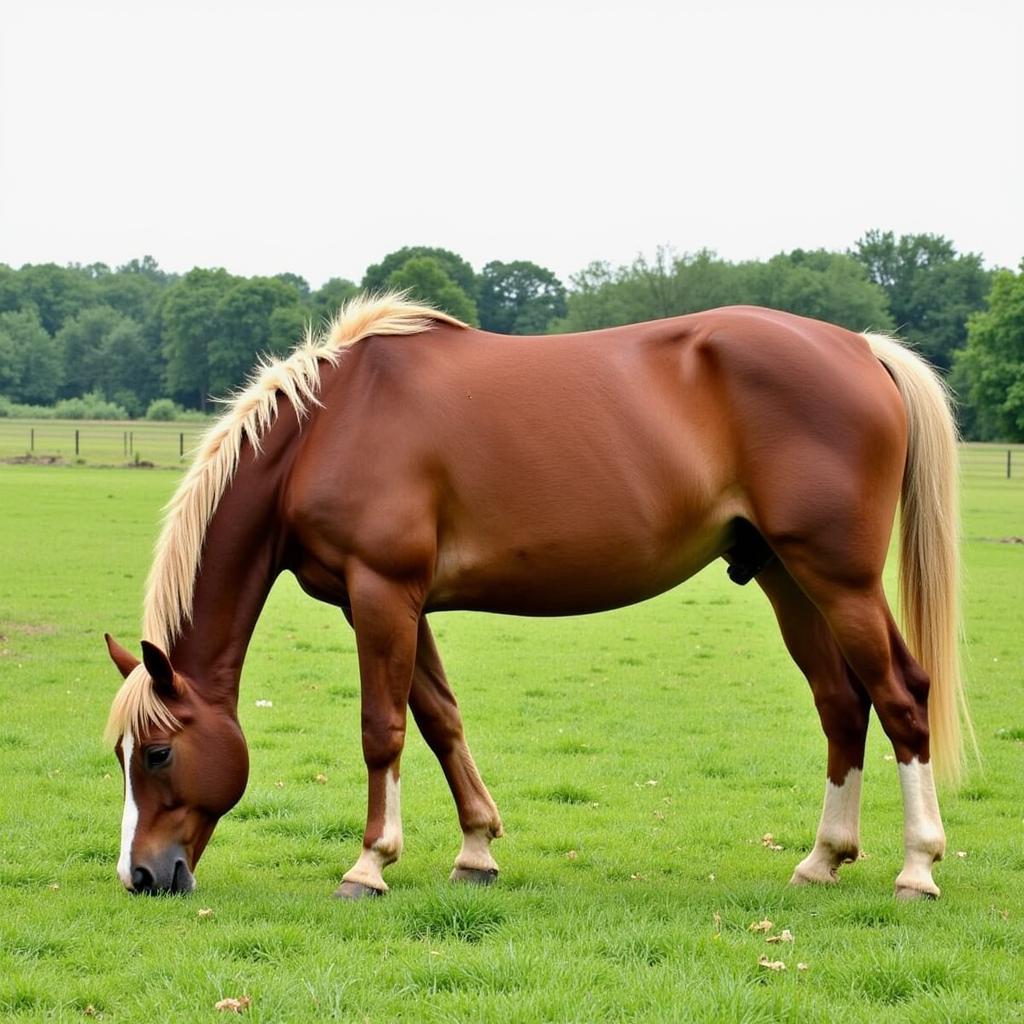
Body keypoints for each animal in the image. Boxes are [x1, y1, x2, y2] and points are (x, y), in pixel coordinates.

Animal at [101, 292, 966, 901]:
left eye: (158, 752)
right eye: (121, 756)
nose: (141, 876)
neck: (326, 428)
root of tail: (861, 348)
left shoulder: (381, 592)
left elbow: (382, 729)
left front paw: (369, 864)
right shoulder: (392, 602)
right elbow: (439, 719)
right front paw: (476, 850)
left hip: (839, 579)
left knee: (901, 696)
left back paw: (917, 869)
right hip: (787, 577)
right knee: (841, 704)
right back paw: (822, 860)